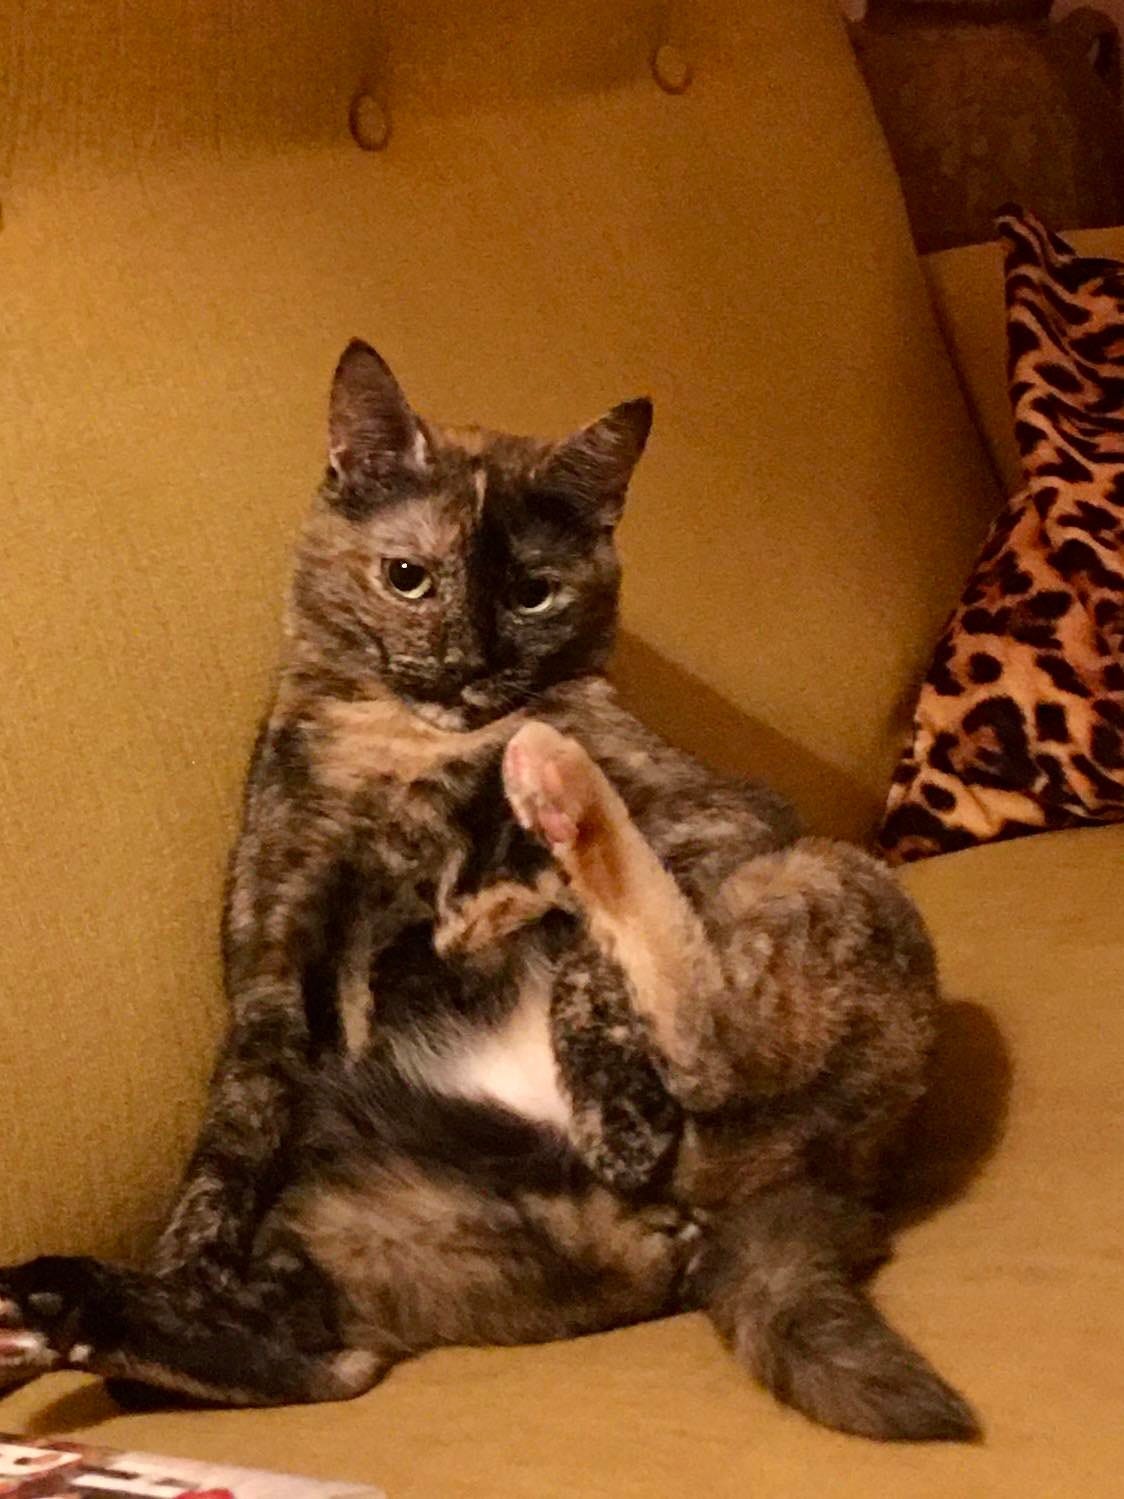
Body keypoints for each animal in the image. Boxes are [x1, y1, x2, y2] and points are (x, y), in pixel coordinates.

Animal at [0, 341, 978, 1442]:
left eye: (533, 593)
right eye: (408, 577)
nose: (471, 663)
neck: (407, 747)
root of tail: (791, 1212)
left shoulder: (724, 816)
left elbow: (589, 961)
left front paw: (600, 1075)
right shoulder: (269, 968)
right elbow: (227, 1141)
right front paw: (190, 1259)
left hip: (815, 873)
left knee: (700, 1029)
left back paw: (552, 810)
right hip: (365, 1227)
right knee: (322, 1360)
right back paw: (52, 1308)